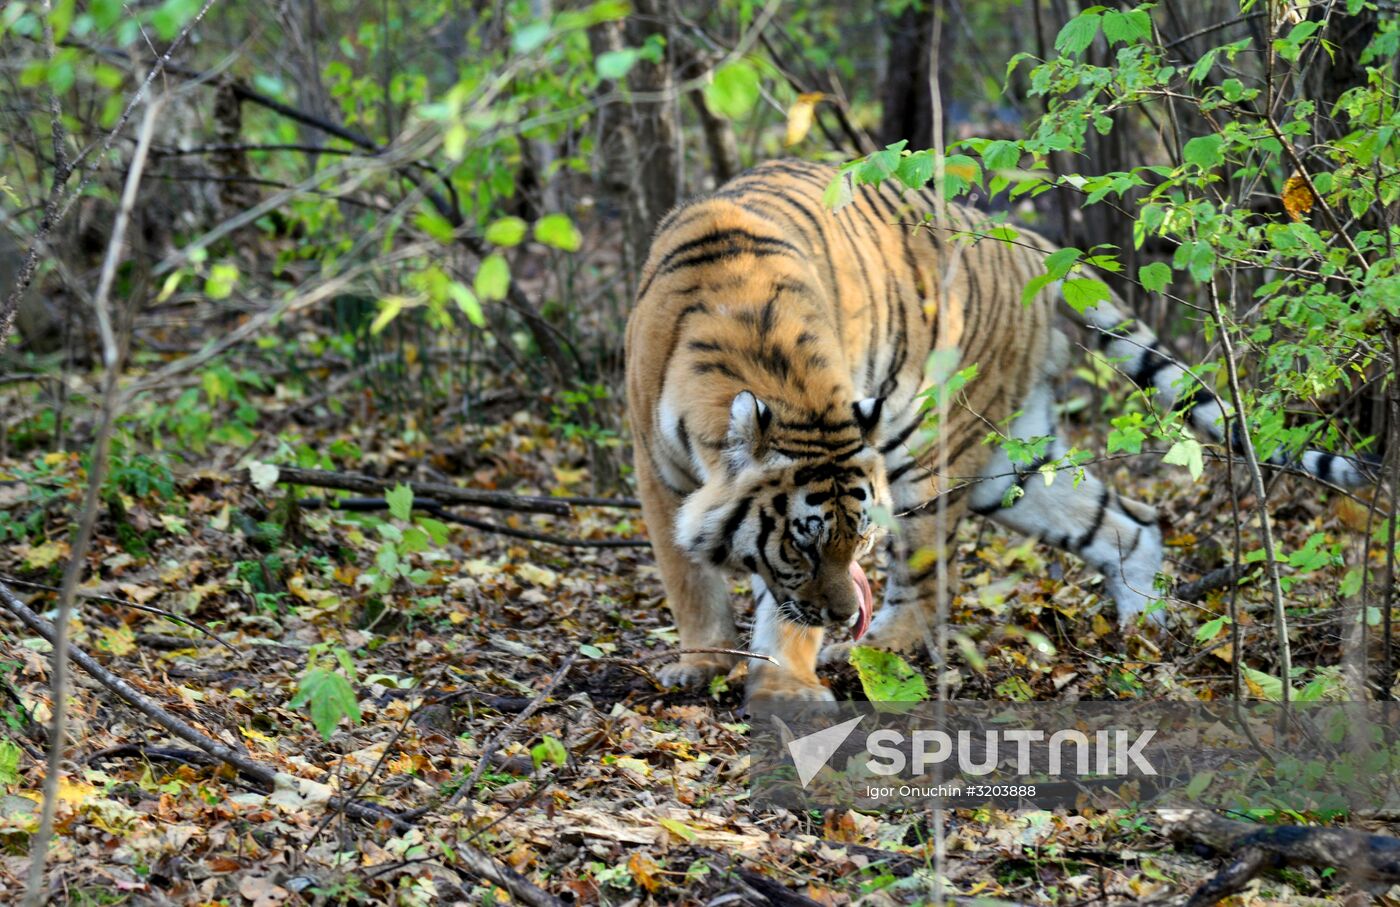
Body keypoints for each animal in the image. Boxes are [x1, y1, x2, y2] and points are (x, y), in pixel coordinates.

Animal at [624, 159, 1366, 705]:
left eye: (858, 540)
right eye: (802, 549)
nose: (839, 615)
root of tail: (1031, 244)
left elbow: (770, 606)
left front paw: (786, 677)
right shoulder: (658, 473)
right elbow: (689, 580)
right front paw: (700, 663)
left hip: (931, 451)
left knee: (924, 587)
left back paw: (878, 647)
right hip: (1014, 466)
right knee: (1131, 522)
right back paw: (1143, 628)